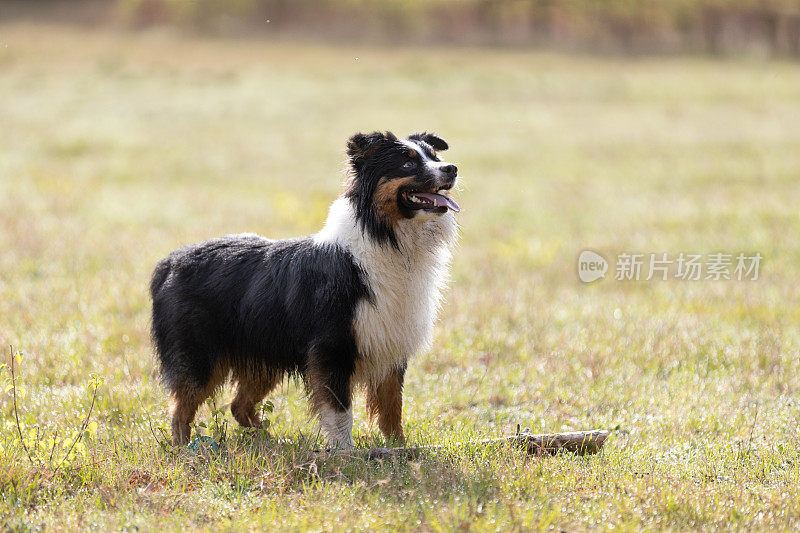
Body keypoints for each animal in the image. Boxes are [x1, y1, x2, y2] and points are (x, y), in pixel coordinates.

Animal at [150, 131, 460, 446]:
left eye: (434, 156)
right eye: (407, 164)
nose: (451, 168)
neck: (387, 238)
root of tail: (171, 262)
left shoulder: (390, 343)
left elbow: (391, 405)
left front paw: (399, 447)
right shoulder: (332, 346)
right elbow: (340, 409)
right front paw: (345, 451)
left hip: (263, 353)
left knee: (238, 405)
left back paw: (271, 442)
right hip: (199, 355)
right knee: (180, 409)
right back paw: (185, 448)